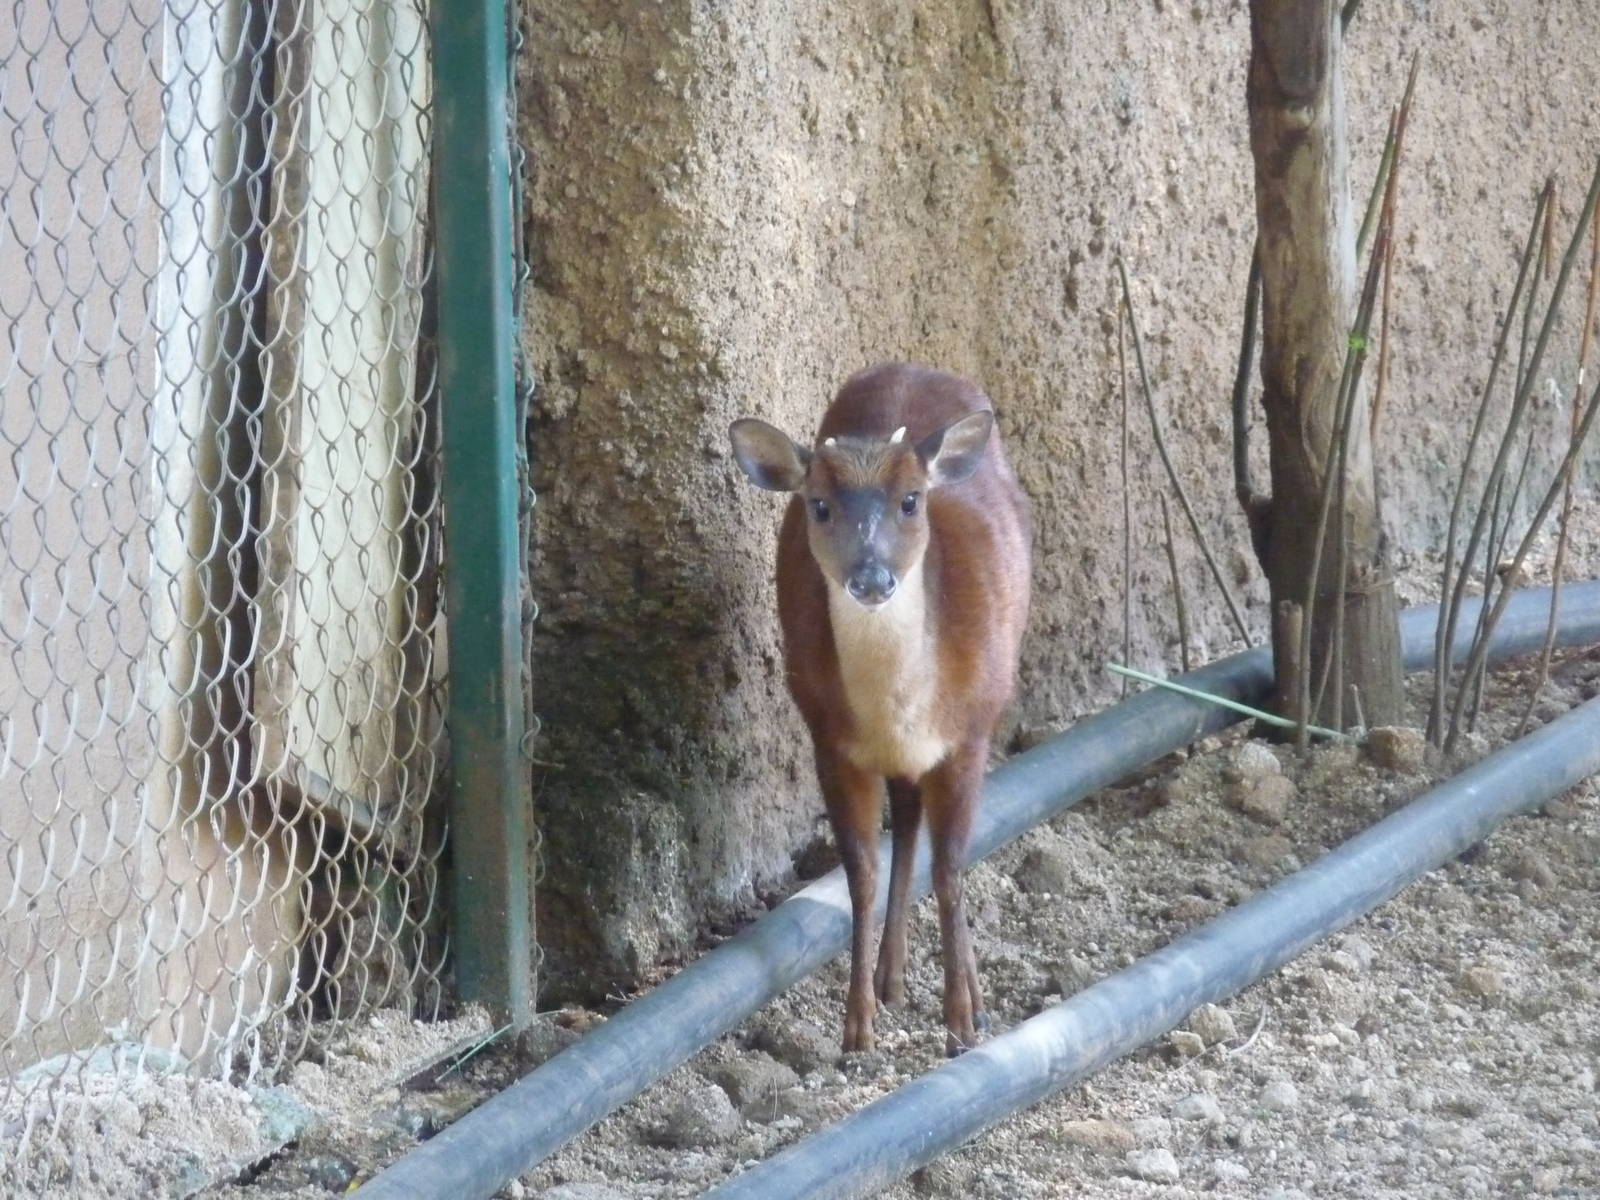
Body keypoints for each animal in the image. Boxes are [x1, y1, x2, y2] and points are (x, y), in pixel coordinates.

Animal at [729, 362, 1032, 1057]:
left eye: (911, 500)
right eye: (819, 505)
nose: (871, 579)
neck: (903, 709)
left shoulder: (969, 734)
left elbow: (950, 870)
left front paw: (960, 1022)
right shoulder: (830, 741)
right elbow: (860, 875)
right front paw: (858, 1026)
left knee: (930, 838)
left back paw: (965, 991)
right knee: (908, 821)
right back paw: (892, 979)